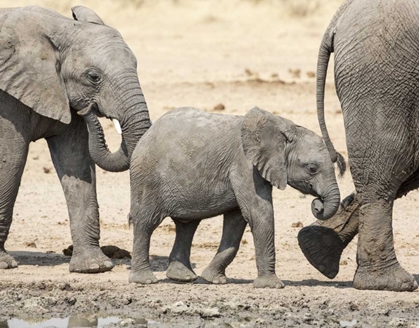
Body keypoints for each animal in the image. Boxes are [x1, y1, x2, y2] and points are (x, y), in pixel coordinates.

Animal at [0, 7, 151, 274]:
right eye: (93, 77)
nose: (88, 109)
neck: (60, 28)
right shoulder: (7, 97)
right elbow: (12, 159)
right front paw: (4, 264)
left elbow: (77, 161)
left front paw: (94, 267)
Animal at [129, 107, 342, 288]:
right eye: (312, 168)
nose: (318, 204)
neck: (284, 128)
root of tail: (147, 134)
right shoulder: (244, 165)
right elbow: (259, 213)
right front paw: (272, 286)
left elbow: (236, 222)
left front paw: (213, 280)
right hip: (147, 177)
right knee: (146, 223)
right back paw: (145, 280)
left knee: (187, 226)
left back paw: (183, 278)